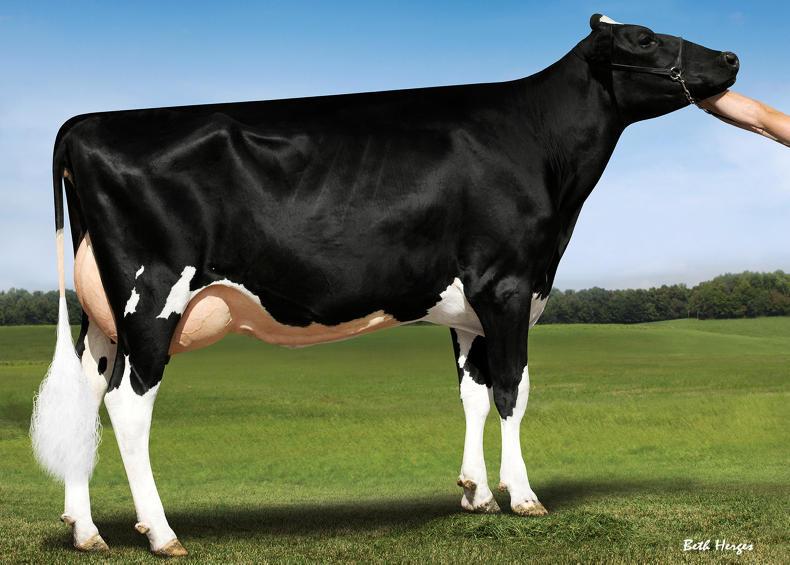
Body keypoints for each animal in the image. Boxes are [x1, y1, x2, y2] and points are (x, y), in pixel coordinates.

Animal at [30, 14, 739, 556]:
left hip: (103, 317)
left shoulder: (467, 309)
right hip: (152, 298)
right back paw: (161, 533)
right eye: (644, 38)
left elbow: (473, 394)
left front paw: (476, 494)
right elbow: (512, 391)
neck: (536, 144)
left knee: (88, 396)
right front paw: (523, 497)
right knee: (128, 404)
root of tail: (87, 123)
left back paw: (87, 531)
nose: (731, 56)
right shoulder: (508, 286)